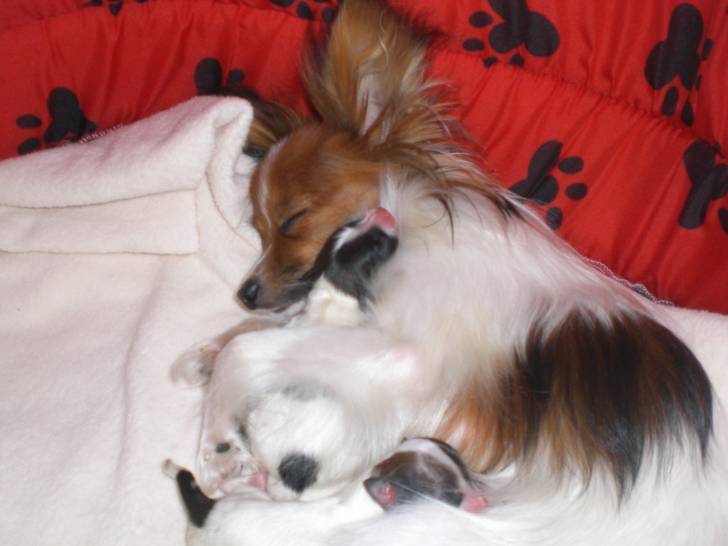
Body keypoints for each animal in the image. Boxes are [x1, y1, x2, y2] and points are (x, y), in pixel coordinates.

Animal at [162, 438, 486, 544]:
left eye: (466, 473)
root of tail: (203, 514)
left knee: (235, 486)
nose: (482, 500)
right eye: (449, 496)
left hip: (248, 498)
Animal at [188, 0, 728, 540]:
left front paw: (215, 445)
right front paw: (210, 353)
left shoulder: (406, 354)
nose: (246, 292)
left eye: (292, 220)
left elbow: (247, 350)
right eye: (257, 229)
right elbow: (262, 335)